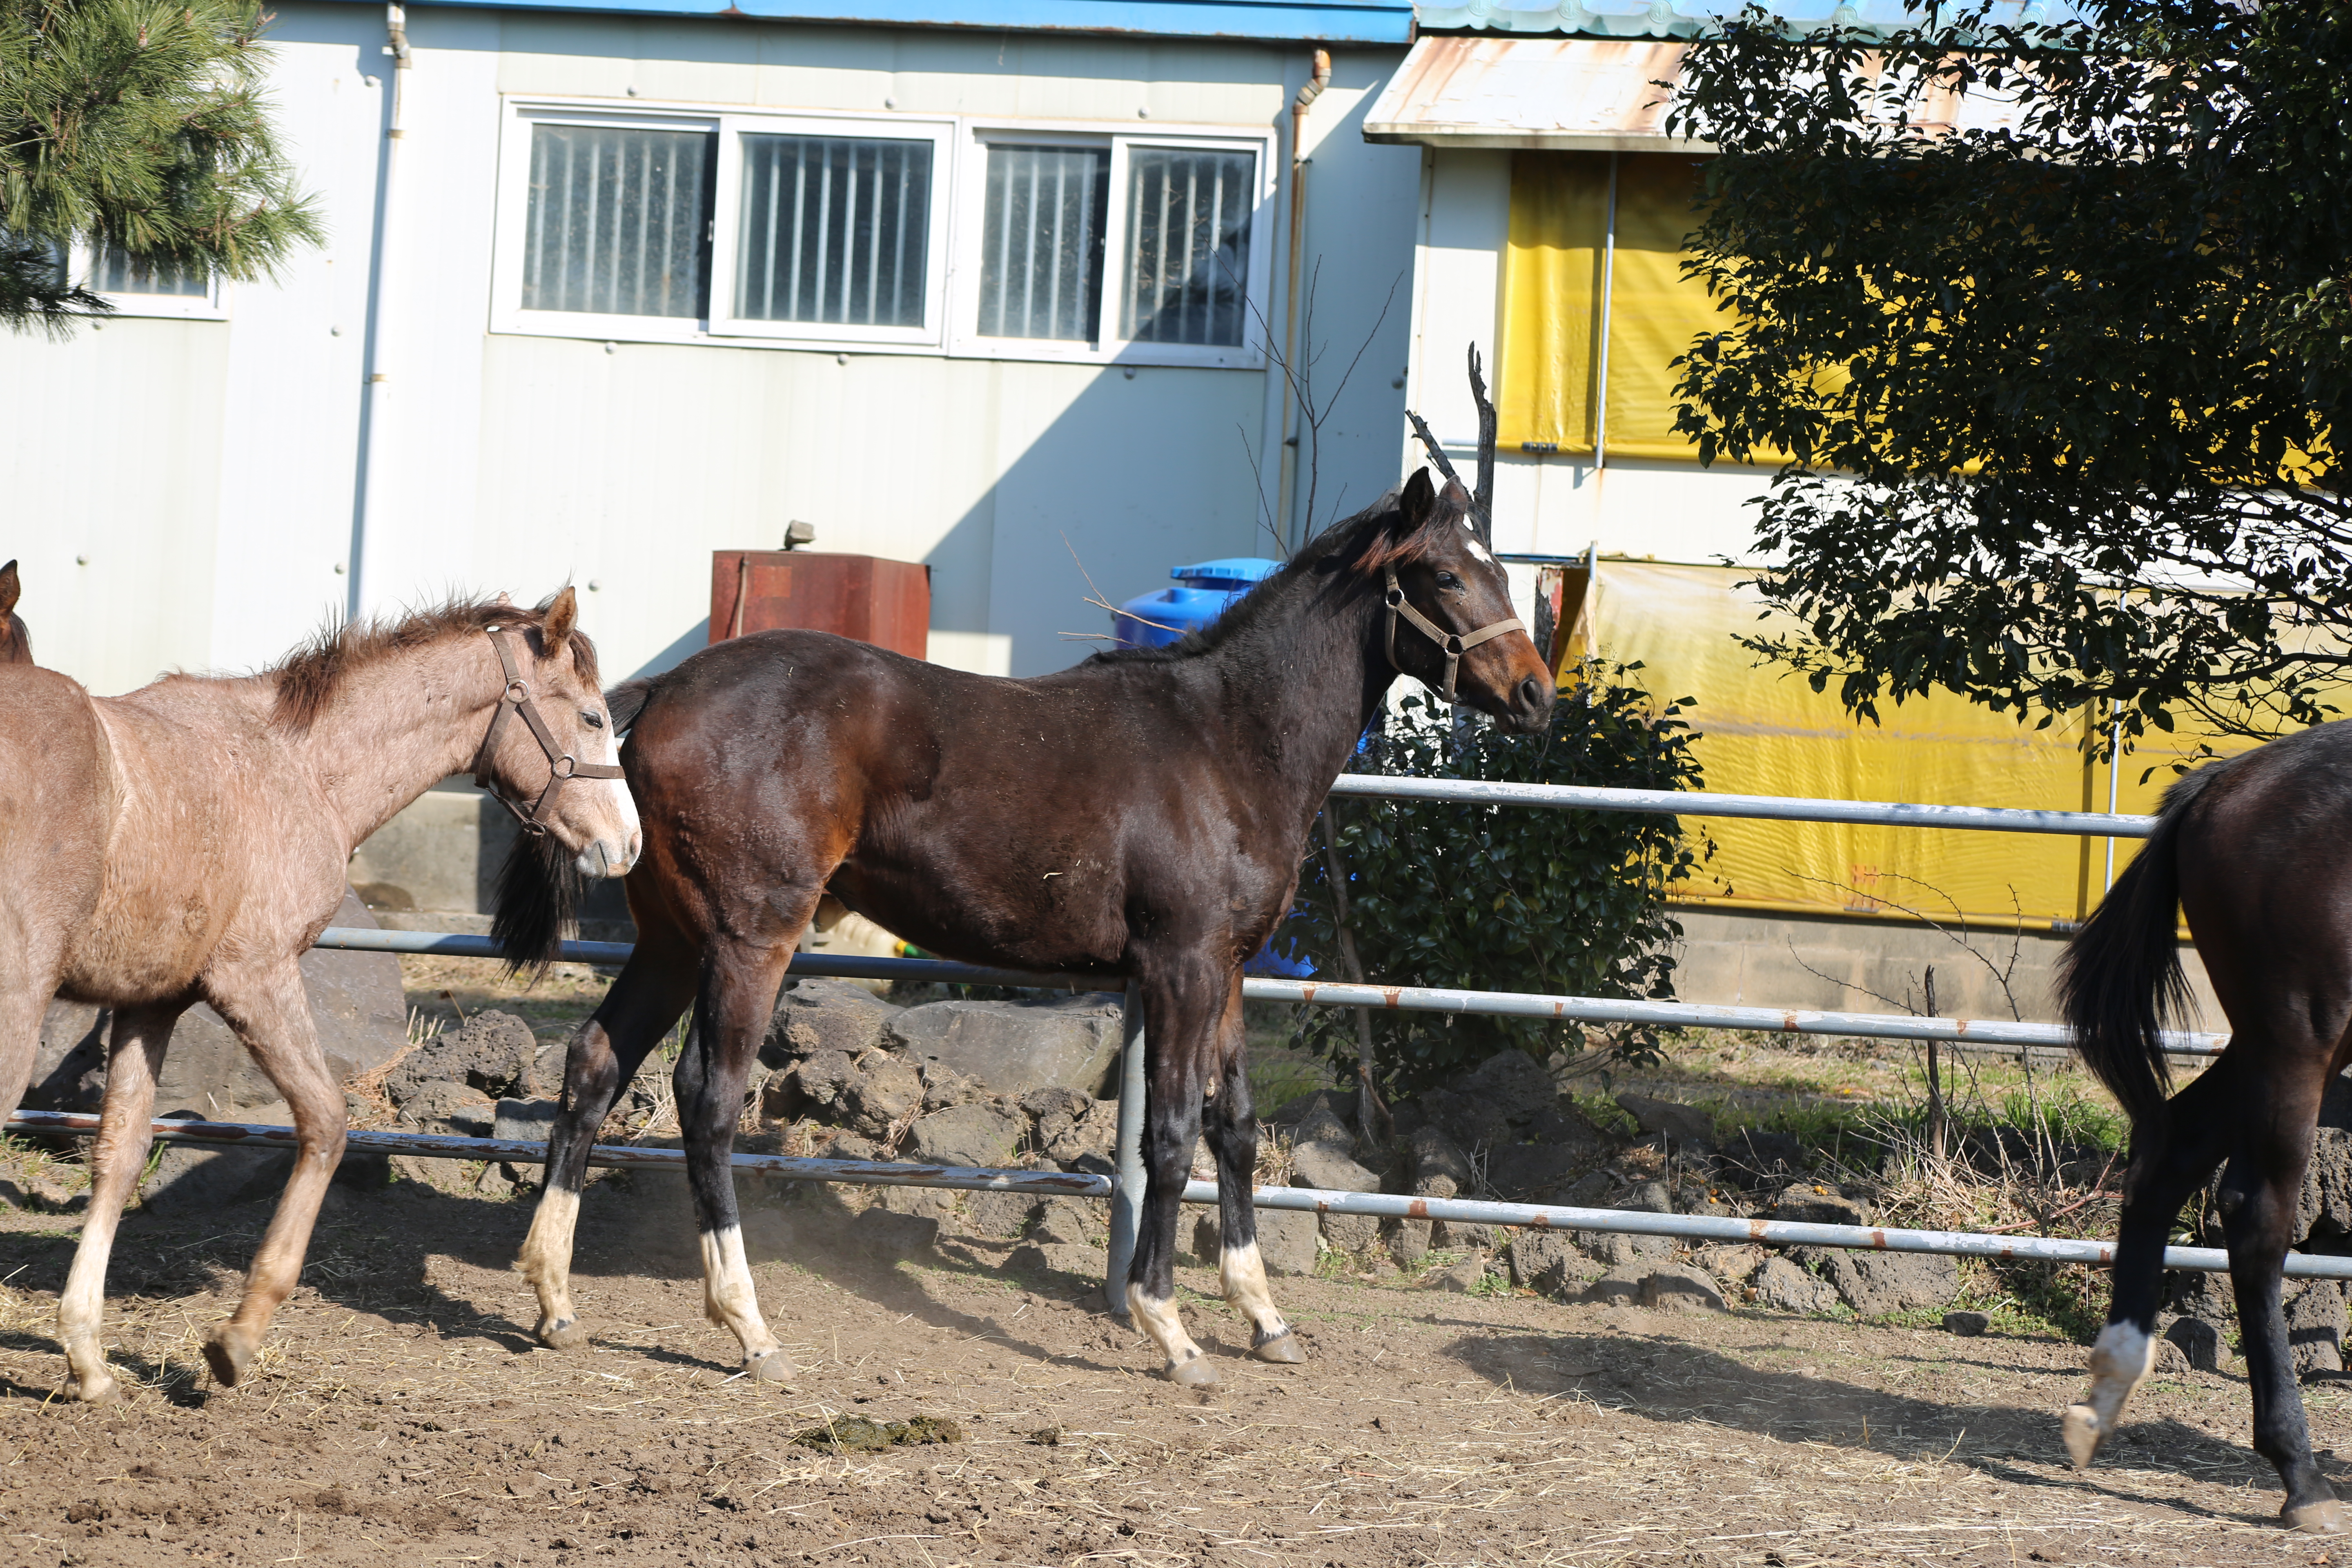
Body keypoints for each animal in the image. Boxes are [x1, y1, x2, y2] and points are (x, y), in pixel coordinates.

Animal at [0, 595, 639, 1401]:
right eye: (591, 717)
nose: (630, 846)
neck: (297, 766)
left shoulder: (153, 1003)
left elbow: (120, 1153)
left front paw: (87, 1357)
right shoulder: (257, 977)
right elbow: (329, 1124)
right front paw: (237, 1339)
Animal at [506, 470, 1552, 1382]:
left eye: (1503, 568)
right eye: (1447, 575)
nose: (1538, 694)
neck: (1226, 742)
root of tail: (663, 690)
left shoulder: (1225, 970)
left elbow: (1237, 1127)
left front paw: (1264, 1318)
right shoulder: (1178, 967)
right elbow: (1172, 1134)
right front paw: (1172, 1331)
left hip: (672, 940)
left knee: (594, 1062)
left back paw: (554, 1299)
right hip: (747, 939)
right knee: (708, 1096)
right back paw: (748, 1327)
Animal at [2069, 733, 2352, 1532]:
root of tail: (2226, 784)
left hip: (2273, 1044)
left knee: (2170, 1153)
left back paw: (2107, 1392)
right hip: (2299, 1038)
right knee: (2256, 1218)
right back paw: (2301, 1476)